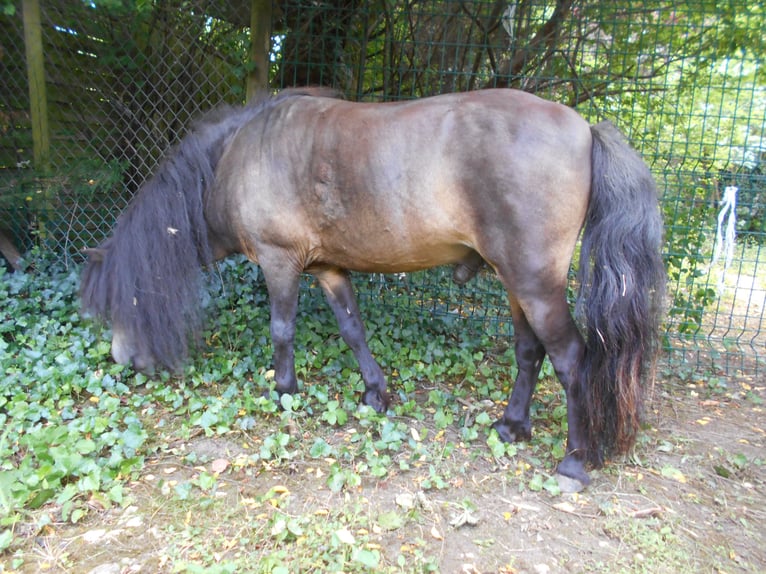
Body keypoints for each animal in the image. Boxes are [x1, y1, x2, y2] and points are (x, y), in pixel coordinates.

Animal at [82, 86, 664, 490]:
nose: (122, 360)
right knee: (528, 350)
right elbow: (352, 329)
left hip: (534, 282)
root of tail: (585, 127)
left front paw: (284, 390)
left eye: (118, 303)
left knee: (570, 358)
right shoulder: (328, 269)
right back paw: (511, 425)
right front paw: (374, 394)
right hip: (515, 281)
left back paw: (573, 460)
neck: (235, 157)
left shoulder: (278, 261)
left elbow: (281, 329)